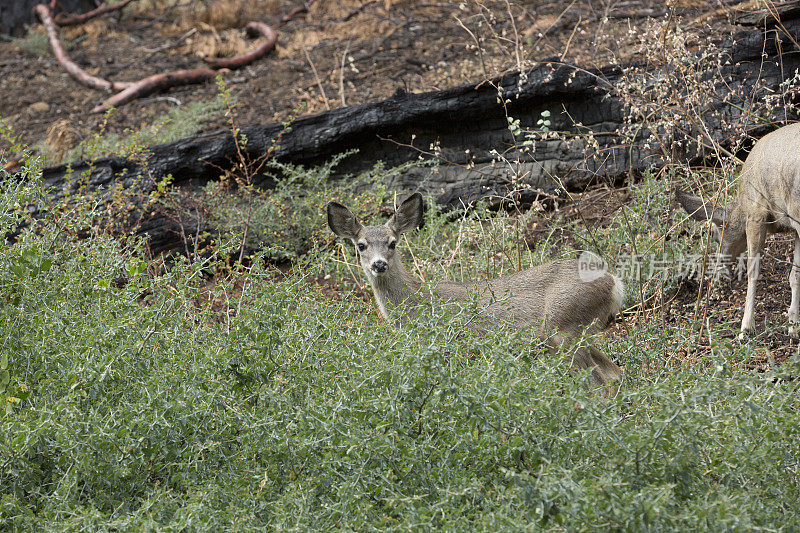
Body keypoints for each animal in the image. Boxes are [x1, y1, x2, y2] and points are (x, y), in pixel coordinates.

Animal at [324, 192, 624, 386]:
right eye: (360, 245)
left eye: (393, 242)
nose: (379, 264)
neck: (416, 303)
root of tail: (614, 282)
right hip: (579, 333)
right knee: (614, 373)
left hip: (564, 328)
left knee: (599, 384)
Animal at [680, 121, 800, 336]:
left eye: (714, 235)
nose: (720, 267)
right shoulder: (793, 227)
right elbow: (795, 275)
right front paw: (793, 326)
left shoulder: (756, 213)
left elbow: (753, 271)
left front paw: (746, 327)